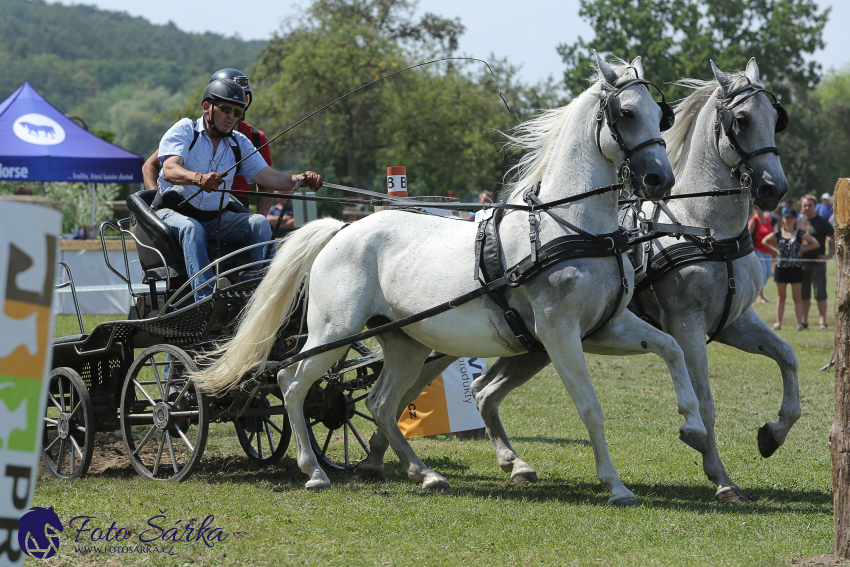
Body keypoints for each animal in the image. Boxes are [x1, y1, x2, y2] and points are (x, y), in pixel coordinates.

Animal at [195, 53, 704, 506]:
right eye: (626, 112)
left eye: (660, 115)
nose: (660, 180)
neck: (569, 227)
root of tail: (342, 228)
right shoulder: (559, 334)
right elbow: (591, 407)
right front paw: (616, 486)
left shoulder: (607, 326)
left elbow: (672, 349)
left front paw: (693, 427)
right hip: (333, 332)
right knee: (292, 382)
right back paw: (314, 471)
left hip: (404, 342)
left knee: (380, 403)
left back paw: (425, 474)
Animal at [458, 56, 788, 502]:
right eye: (741, 119)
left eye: (775, 117)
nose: (774, 188)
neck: (704, 229)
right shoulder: (686, 324)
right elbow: (705, 401)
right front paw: (720, 477)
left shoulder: (735, 321)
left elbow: (787, 357)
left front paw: (773, 433)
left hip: (532, 346)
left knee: (484, 390)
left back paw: (515, 464)